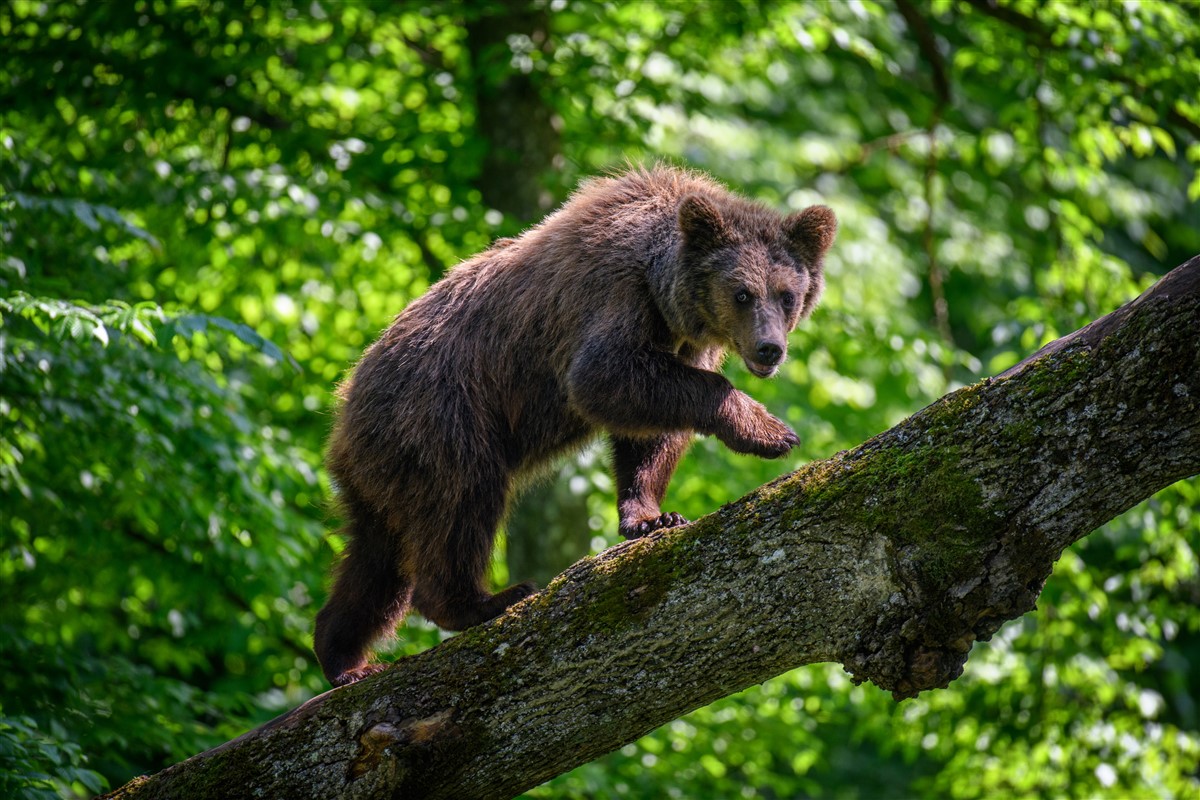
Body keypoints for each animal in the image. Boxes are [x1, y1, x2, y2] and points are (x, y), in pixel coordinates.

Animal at [314, 164, 840, 690]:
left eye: (787, 295)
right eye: (742, 293)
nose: (770, 348)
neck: (665, 294)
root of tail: (345, 401)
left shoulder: (683, 338)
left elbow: (651, 436)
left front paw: (652, 516)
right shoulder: (611, 296)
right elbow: (604, 377)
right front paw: (770, 432)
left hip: (385, 467)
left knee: (376, 561)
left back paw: (344, 658)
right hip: (443, 413)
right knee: (461, 503)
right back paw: (486, 600)